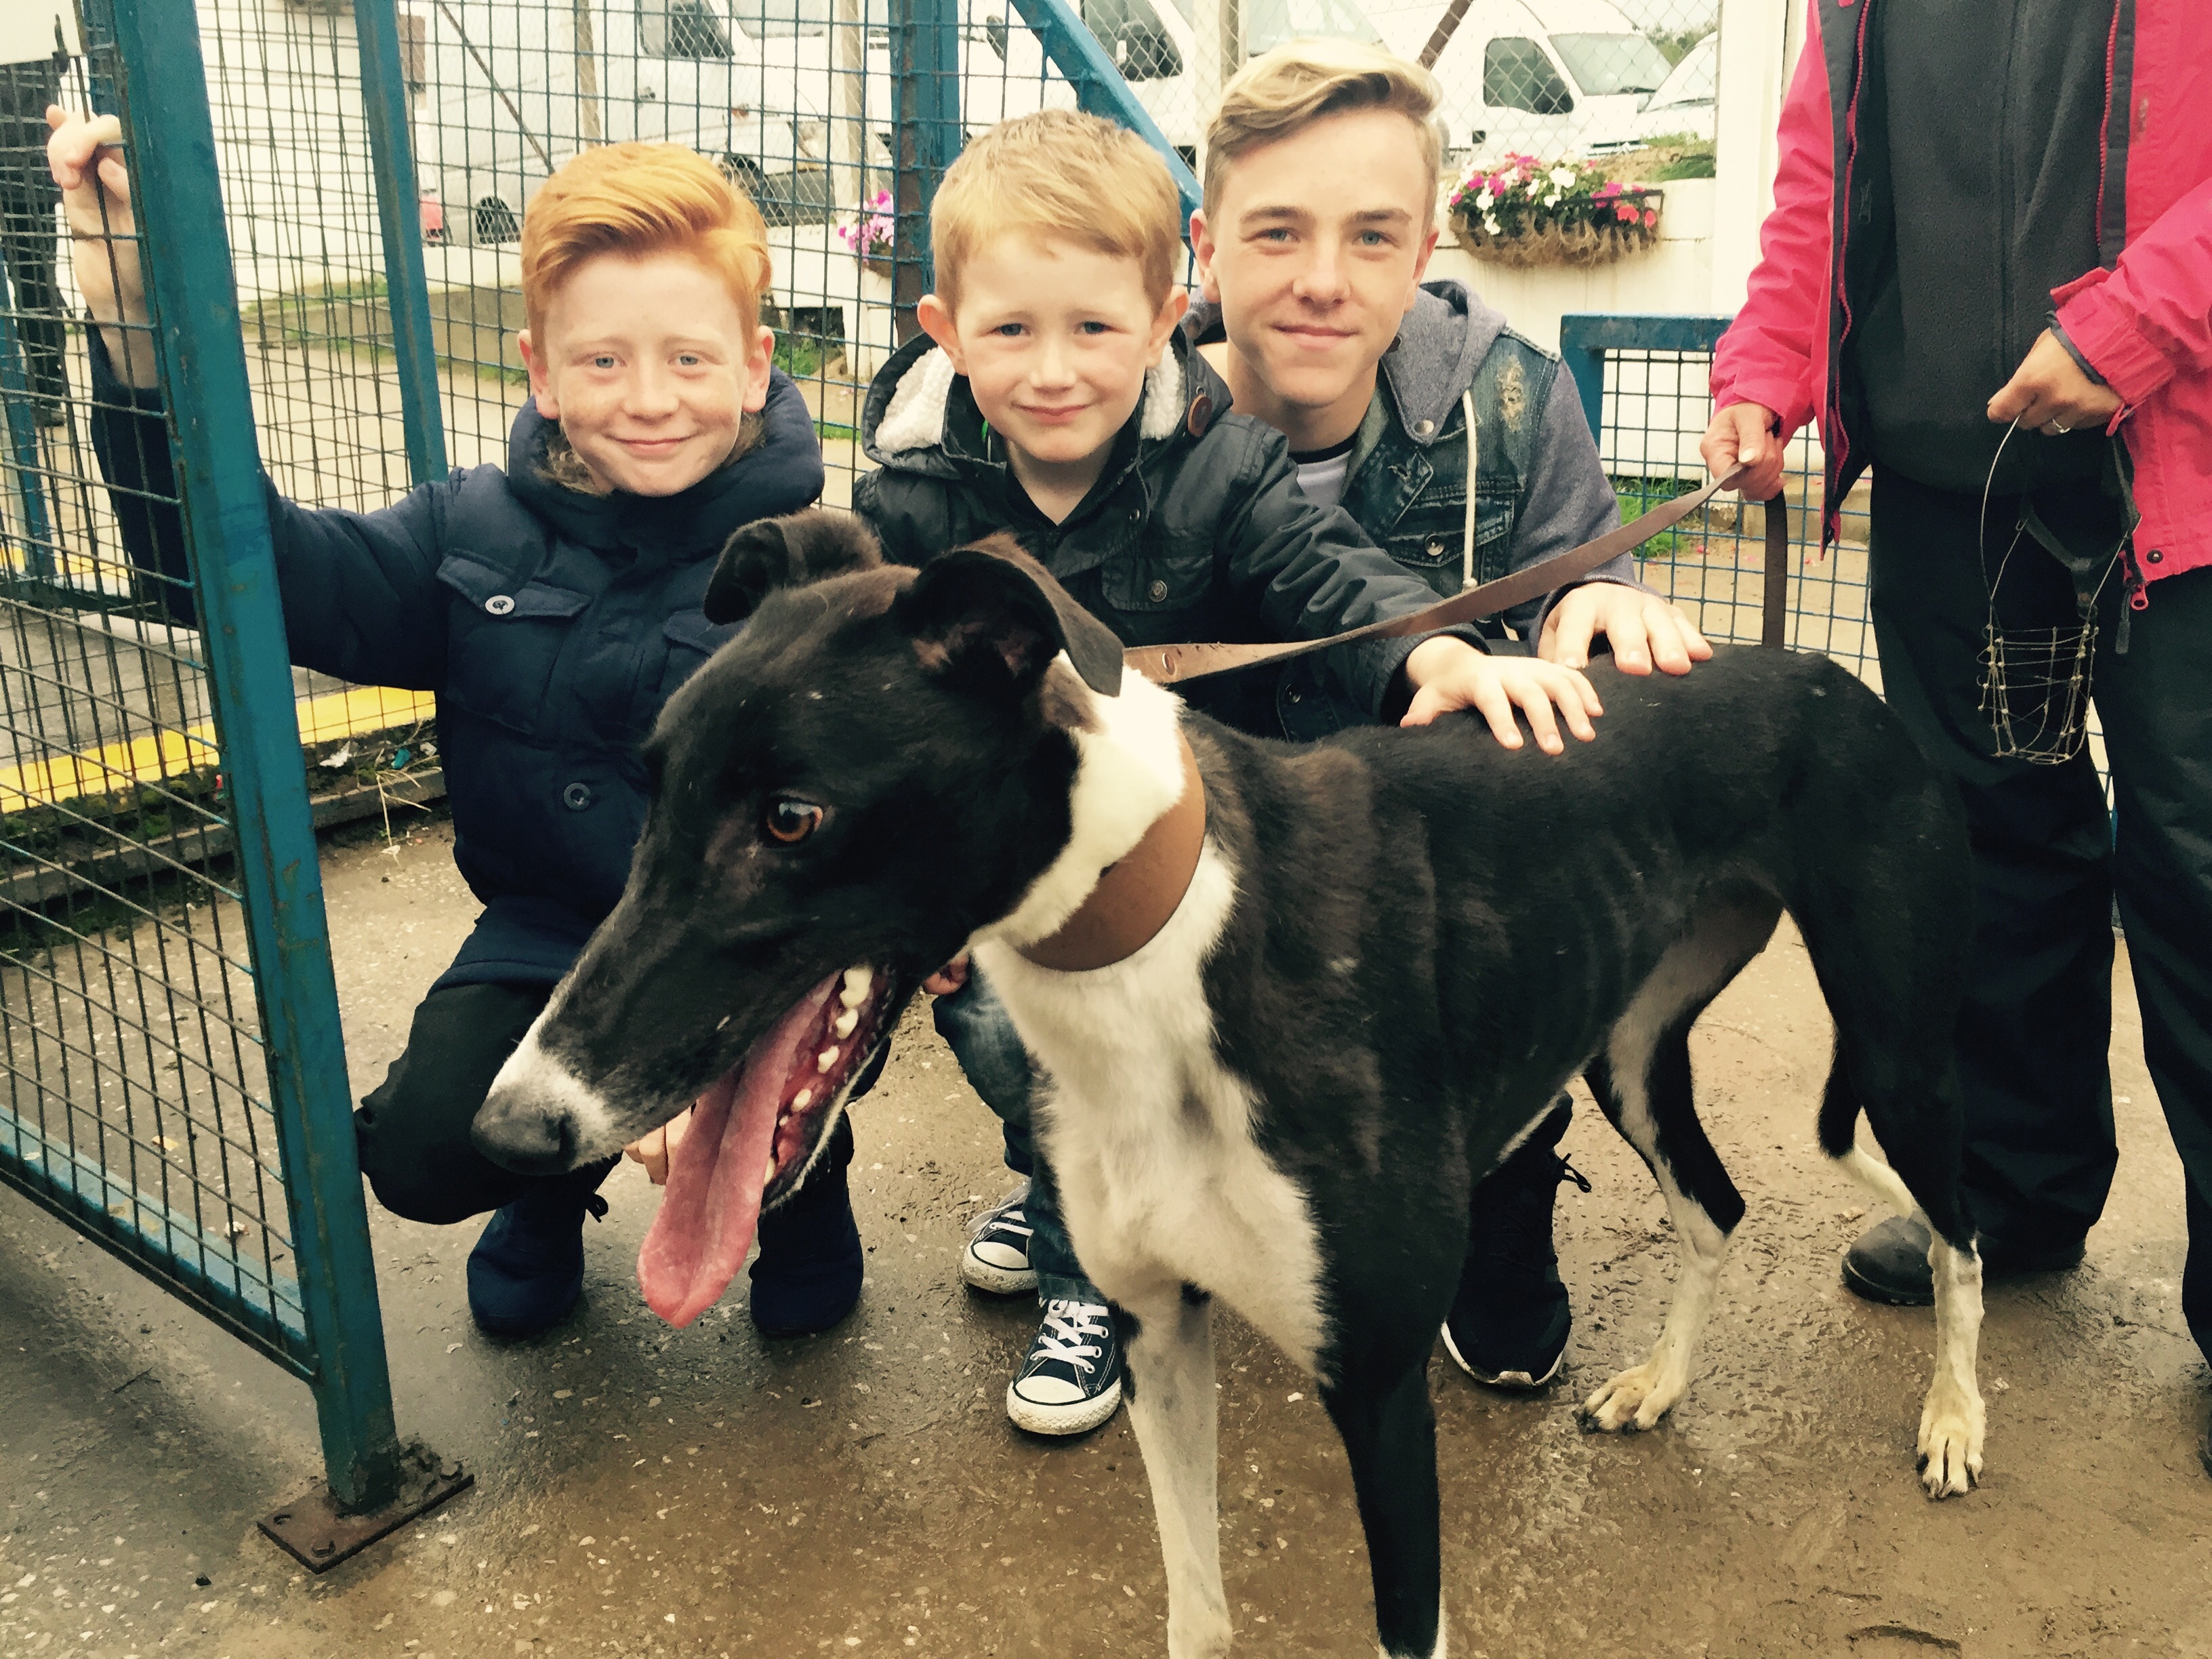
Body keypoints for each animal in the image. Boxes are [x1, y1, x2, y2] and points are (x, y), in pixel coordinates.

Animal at [472, 509, 1987, 1659]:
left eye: (792, 819)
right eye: (650, 782)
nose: (512, 1124)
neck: (1163, 944)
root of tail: (1814, 665)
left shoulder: (1373, 1382)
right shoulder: (1158, 1327)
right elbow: (1197, 1612)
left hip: (1898, 1046)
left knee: (1959, 1233)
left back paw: (1955, 1424)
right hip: (1630, 1044)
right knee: (1717, 1202)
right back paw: (1660, 1386)